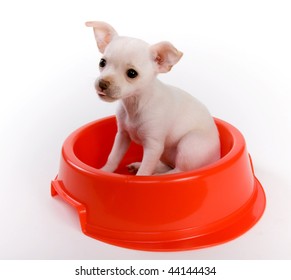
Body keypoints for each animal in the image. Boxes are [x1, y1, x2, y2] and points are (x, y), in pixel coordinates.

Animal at [86, 21, 221, 175]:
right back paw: (141, 166)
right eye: (102, 62)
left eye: (132, 73)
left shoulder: (153, 147)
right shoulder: (122, 136)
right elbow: (113, 158)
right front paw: (105, 172)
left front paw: (141, 176)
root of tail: (217, 156)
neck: (135, 103)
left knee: (178, 170)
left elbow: (144, 172)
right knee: (167, 165)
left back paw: (159, 175)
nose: (102, 83)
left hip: (189, 144)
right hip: (167, 153)